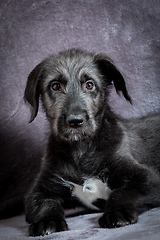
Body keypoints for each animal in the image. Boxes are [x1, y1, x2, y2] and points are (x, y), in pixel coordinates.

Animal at [24, 48, 160, 236]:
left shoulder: (149, 178)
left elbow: (124, 192)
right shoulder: (39, 190)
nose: (75, 121)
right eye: (55, 86)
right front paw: (46, 221)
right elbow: (44, 203)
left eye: (89, 85)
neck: (81, 150)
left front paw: (117, 212)